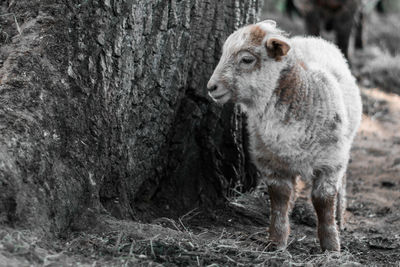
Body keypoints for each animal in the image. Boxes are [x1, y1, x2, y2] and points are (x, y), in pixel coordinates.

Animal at [208, 19, 360, 252]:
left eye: (246, 59)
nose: (211, 87)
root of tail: (311, 38)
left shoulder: (330, 161)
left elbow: (323, 201)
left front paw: (331, 246)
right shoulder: (270, 161)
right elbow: (279, 199)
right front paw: (276, 241)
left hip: (343, 146)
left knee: (341, 184)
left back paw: (340, 217)